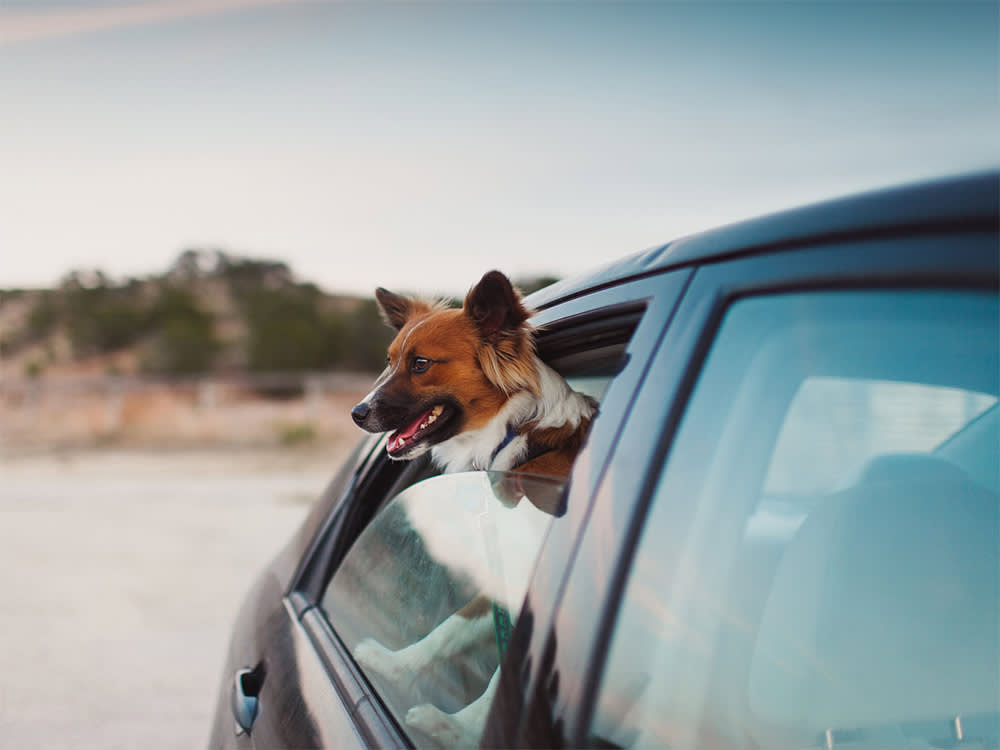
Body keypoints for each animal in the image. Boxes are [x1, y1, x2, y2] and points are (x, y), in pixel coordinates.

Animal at [352, 274, 596, 748]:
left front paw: (460, 730)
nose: (357, 412)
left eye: (421, 363)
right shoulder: (503, 573)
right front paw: (396, 664)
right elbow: (449, 628)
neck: (520, 441)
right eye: (390, 361)